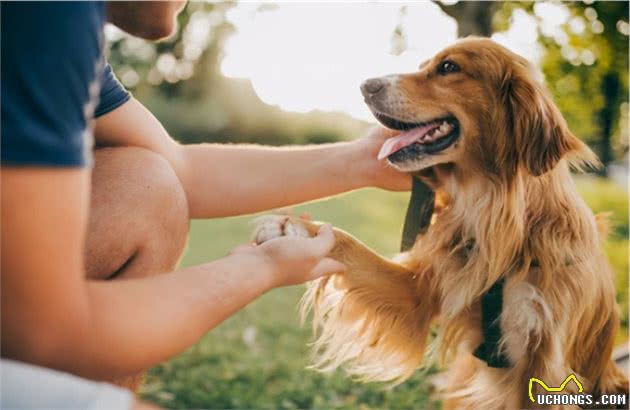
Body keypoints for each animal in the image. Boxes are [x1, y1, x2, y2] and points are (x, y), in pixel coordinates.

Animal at [254, 37, 628, 406]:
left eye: (448, 67)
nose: (365, 86)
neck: (496, 217)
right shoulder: (421, 291)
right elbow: (352, 247)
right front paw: (295, 230)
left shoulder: (545, 362)